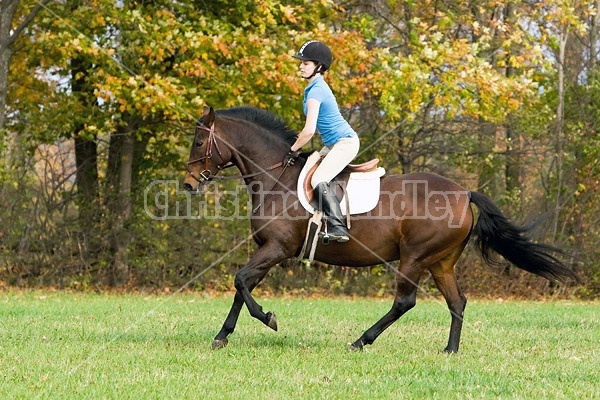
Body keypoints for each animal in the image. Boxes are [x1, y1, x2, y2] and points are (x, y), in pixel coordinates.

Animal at [183, 104, 576, 352]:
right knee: (457, 302)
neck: (275, 177)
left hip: (415, 257)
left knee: (404, 301)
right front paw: (222, 336)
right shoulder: (267, 250)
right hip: (441, 261)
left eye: (199, 142)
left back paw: (361, 341)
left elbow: (240, 282)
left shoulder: (277, 248)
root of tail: (465, 192)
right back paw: (449, 350)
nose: (188, 184)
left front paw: (268, 319)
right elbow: (242, 286)